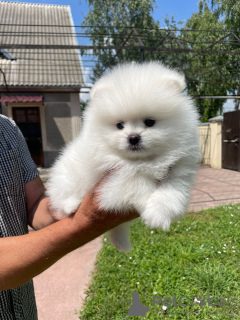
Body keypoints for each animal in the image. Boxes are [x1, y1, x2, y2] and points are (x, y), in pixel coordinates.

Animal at [47, 61, 201, 251]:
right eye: (120, 125)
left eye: (149, 122)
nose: (133, 137)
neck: (143, 160)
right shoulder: (116, 176)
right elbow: (136, 183)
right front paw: (148, 205)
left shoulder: (178, 171)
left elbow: (171, 191)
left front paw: (159, 214)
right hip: (67, 176)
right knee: (63, 197)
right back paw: (71, 205)